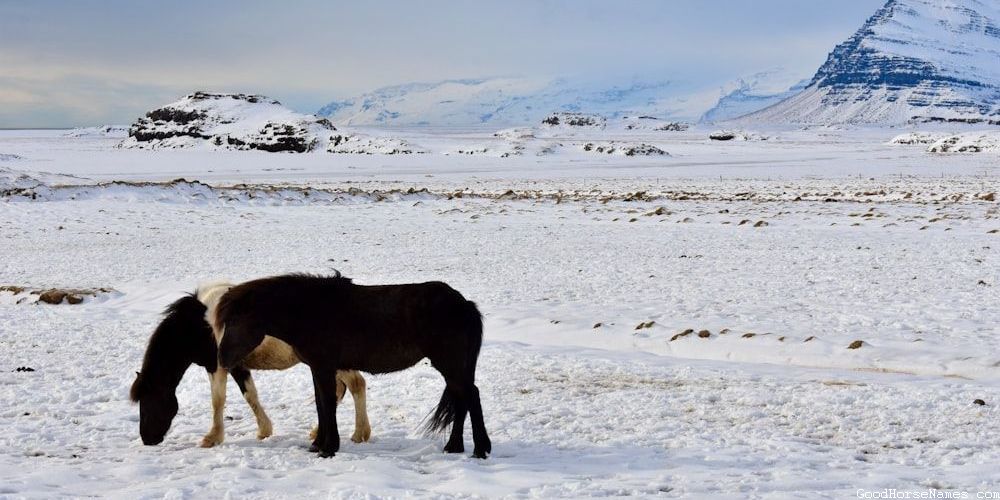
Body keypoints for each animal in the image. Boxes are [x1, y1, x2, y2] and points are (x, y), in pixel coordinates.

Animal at [129, 283, 372, 447]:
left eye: (147, 403)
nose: (147, 439)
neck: (199, 324)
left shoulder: (217, 366)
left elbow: (218, 400)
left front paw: (212, 438)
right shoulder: (236, 366)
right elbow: (250, 395)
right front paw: (264, 430)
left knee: (356, 384)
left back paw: (360, 434)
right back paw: (319, 431)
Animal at [211, 273, 491, 459]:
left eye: (234, 321)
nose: (221, 359)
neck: (308, 310)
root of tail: (464, 304)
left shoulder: (324, 367)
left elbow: (327, 404)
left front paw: (327, 448)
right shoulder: (317, 368)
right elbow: (321, 404)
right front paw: (319, 443)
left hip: (450, 364)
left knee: (471, 396)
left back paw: (480, 449)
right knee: (462, 399)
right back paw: (454, 447)